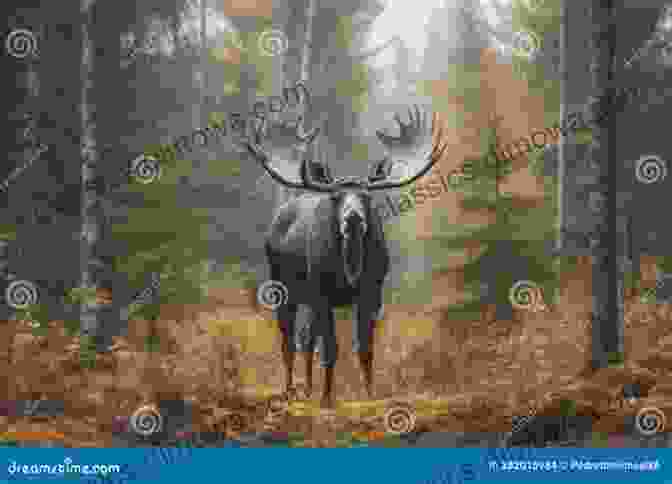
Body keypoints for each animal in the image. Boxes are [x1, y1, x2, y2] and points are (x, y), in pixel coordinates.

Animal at [245, 106, 446, 408]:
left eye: (366, 196)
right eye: (336, 197)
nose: (353, 218)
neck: (350, 267)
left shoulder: (372, 292)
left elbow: (364, 348)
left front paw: (369, 394)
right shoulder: (321, 293)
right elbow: (330, 348)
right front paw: (327, 399)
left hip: (308, 298)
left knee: (306, 339)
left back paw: (308, 389)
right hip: (283, 287)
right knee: (288, 340)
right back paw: (291, 391)